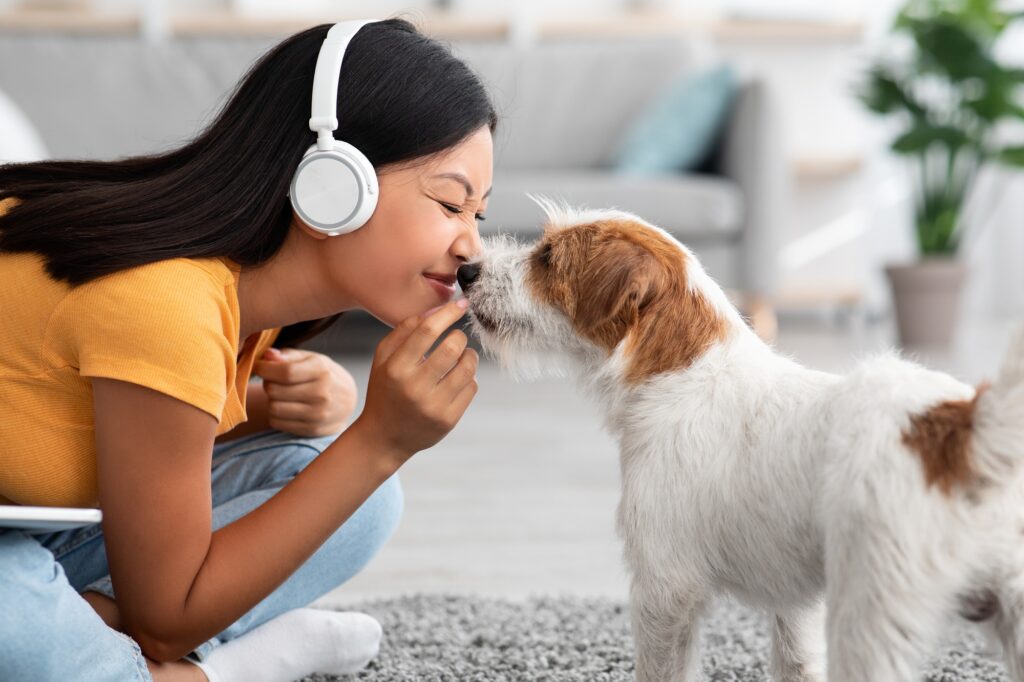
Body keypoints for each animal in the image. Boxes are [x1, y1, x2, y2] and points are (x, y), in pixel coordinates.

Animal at [456, 202, 1024, 679]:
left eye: (548, 257)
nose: (465, 271)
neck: (682, 371)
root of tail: (960, 429)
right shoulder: (796, 601)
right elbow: (796, 662)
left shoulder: (664, 587)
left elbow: (662, 670)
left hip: (871, 611)